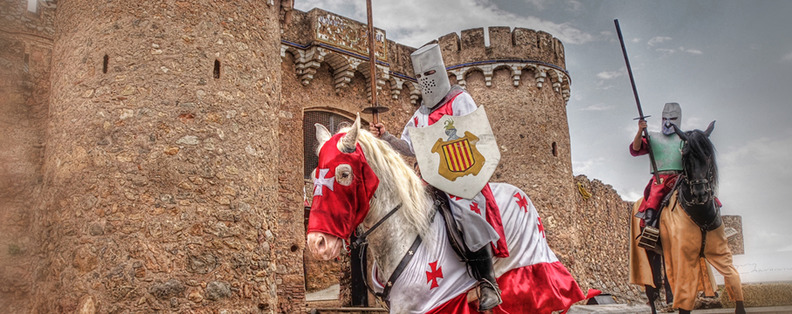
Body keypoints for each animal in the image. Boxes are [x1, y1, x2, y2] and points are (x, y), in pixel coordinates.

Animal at [306, 116, 592, 312]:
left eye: (344, 173)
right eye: (315, 174)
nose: (317, 243)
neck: (409, 240)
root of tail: (521, 194)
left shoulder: (443, 304)